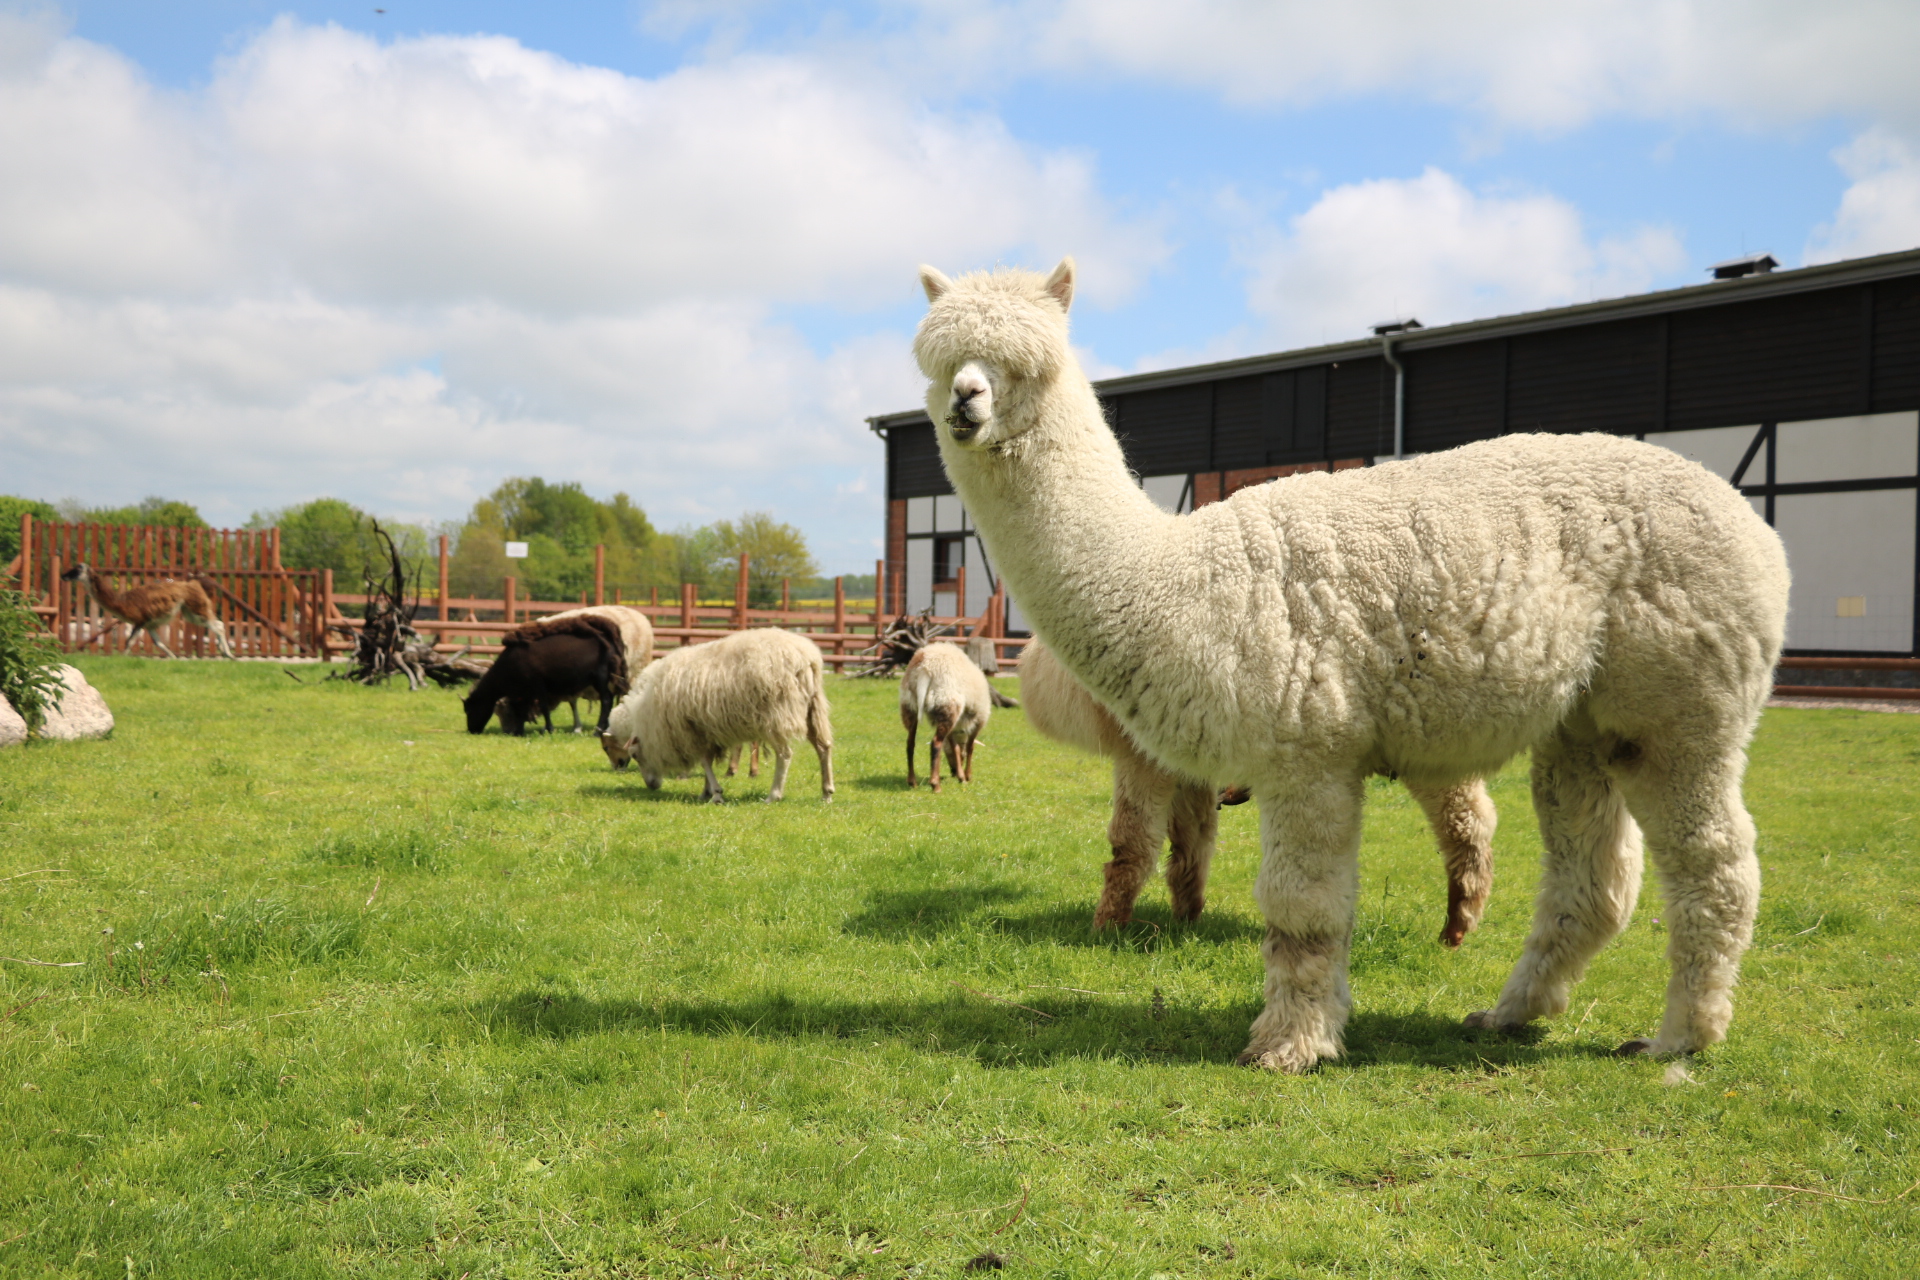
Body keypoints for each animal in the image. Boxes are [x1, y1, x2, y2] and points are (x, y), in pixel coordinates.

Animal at [599, 629, 833, 805]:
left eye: (636, 755)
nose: (651, 787)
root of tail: (807, 657)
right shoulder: (706, 729)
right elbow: (707, 762)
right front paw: (707, 792)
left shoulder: (690, 730)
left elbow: (704, 761)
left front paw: (716, 794)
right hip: (813, 708)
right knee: (824, 747)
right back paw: (827, 792)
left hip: (776, 715)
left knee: (785, 754)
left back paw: (773, 795)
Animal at [894, 640, 990, 790]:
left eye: (946, 754)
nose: (953, 772)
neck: (959, 731)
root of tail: (924, 667)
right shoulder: (979, 720)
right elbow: (970, 747)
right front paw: (967, 776)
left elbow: (955, 747)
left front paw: (961, 776)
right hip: (947, 703)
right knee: (935, 743)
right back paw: (935, 784)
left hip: (910, 704)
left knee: (910, 743)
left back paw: (912, 781)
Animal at [1029, 637, 1489, 932]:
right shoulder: (1182, 758)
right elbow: (1193, 840)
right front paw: (1186, 917)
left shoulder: (1142, 753)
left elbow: (1132, 840)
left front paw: (1107, 927)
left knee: (1466, 809)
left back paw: (1462, 909)